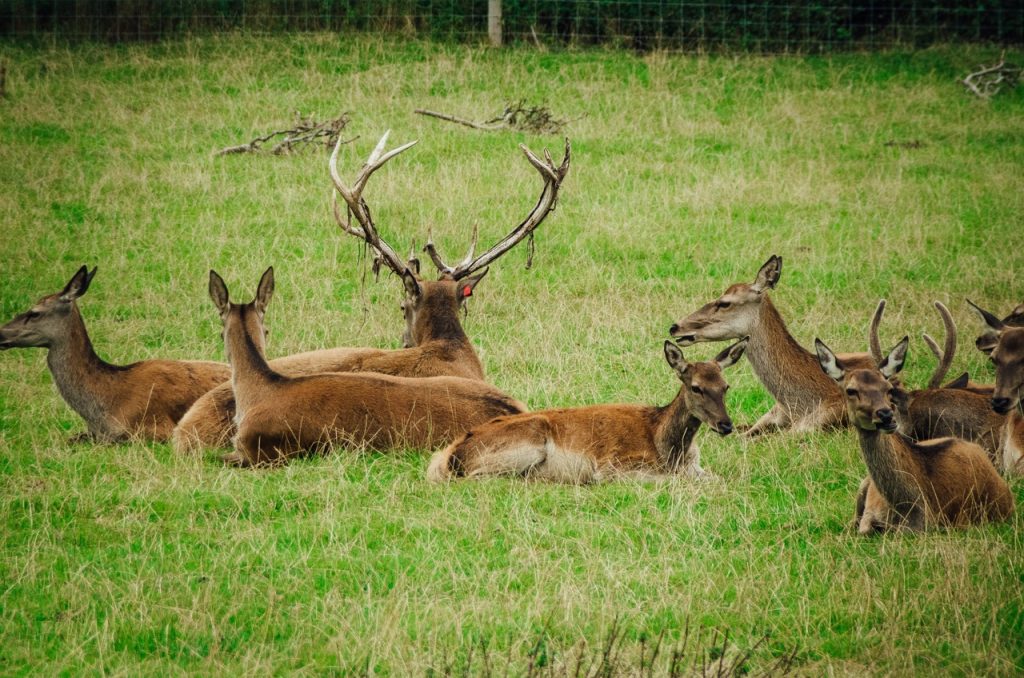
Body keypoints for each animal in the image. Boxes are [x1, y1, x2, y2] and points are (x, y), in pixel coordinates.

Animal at [428, 340, 749, 483]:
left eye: (726, 386)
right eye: (696, 387)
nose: (726, 425)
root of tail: (449, 455)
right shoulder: (613, 466)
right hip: (527, 443)